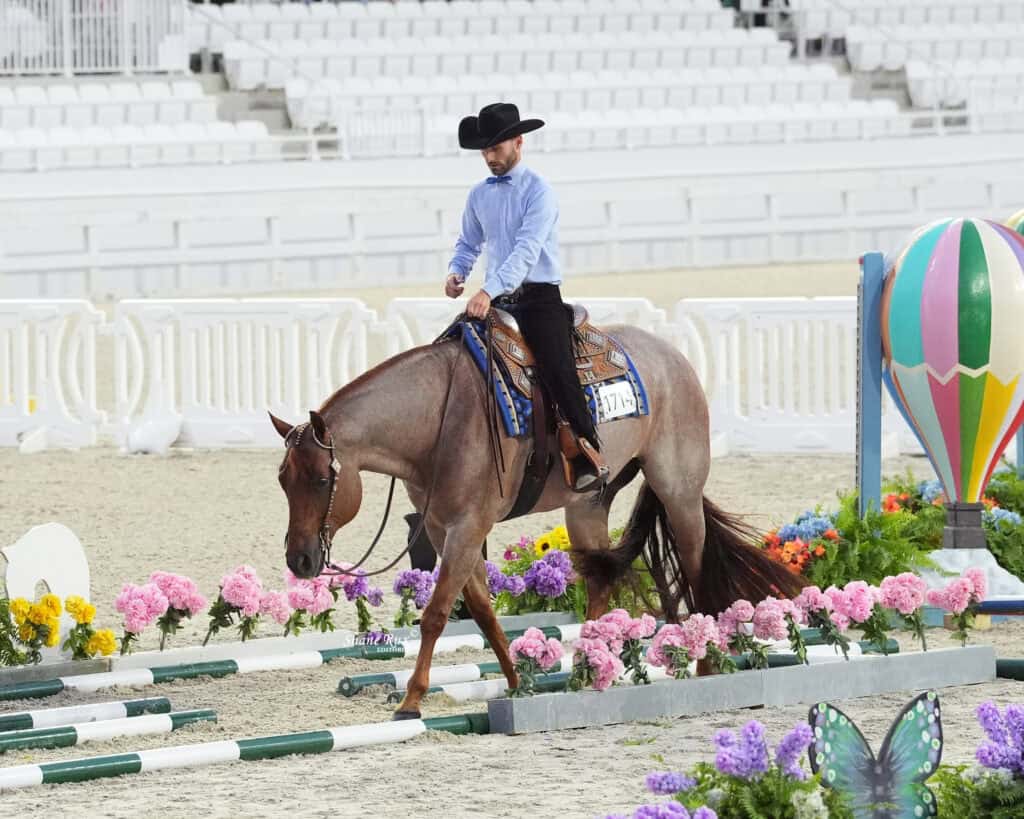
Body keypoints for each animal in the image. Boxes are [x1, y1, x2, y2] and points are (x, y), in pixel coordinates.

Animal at [270, 316, 803, 719]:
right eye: (282, 480)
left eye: (321, 479)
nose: (299, 560)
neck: (438, 420)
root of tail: (674, 359)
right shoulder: (443, 530)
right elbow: (482, 611)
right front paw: (515, 681)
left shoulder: (468, 527)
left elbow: (437, 614)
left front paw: (411, 701)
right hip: (587, 505)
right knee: (600, 583)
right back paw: (585, 670)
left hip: (680, 493)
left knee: (693, 566)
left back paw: (706, 667)